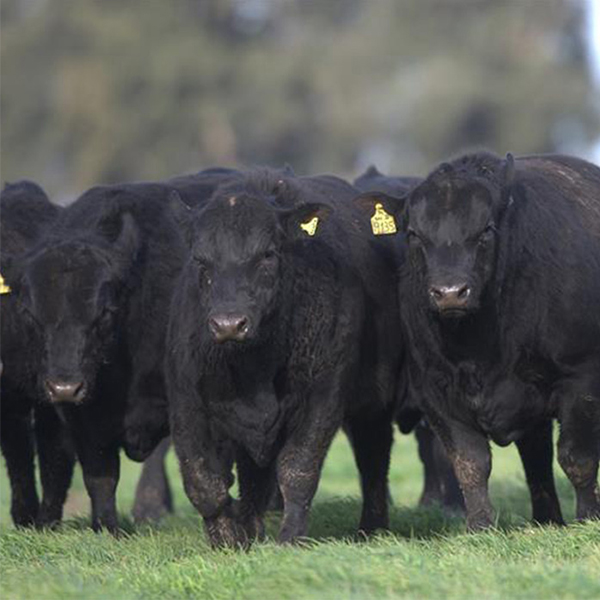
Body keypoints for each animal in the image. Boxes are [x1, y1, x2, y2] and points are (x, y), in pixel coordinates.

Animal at [166, 170, 400, 548]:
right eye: (200, 260)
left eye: (268, 254)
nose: (229, 324)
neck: (255, 368)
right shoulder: (185, 398)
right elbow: (203, 482)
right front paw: (227, 541)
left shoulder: (325, 393)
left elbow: (298, 468)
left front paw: (290, 538)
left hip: (374, 404)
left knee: (373, 457)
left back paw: (372, 527)